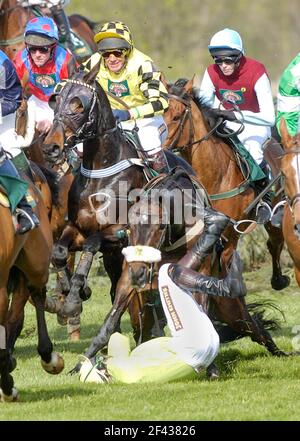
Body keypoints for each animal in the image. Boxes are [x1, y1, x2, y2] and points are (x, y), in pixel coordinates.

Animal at [163, 79, 290, 292]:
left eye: (176, 116)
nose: (155, 151)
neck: (215, 176)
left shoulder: (231, 234)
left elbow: (222, 266)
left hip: (274, 213)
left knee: (275, 241)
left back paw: (279, 280)